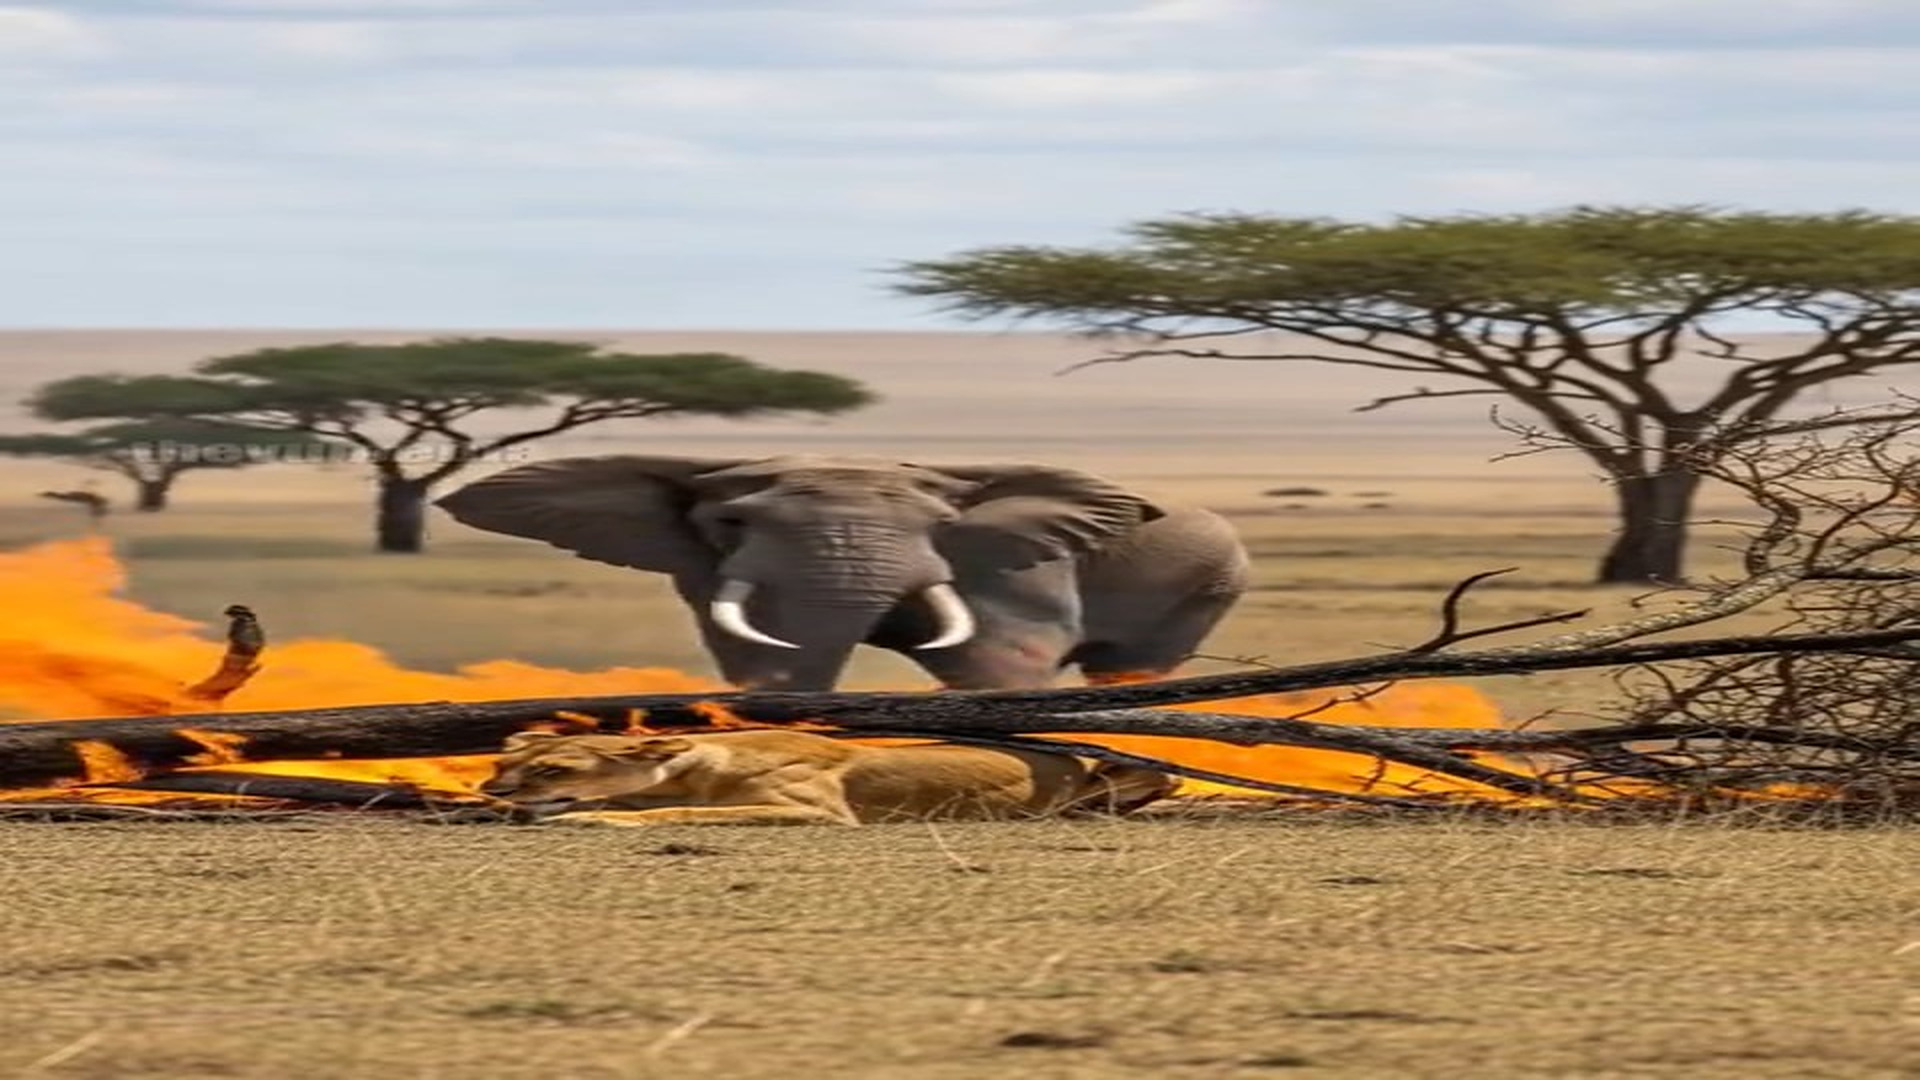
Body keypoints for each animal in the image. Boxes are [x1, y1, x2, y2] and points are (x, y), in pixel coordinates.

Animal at [434, 454, 1250, 691]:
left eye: (941, 527)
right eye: (732, 522)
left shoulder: (1018, 568)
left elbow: (1002, 659)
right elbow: (756, 646)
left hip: (1211, 578)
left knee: (1134, 666)